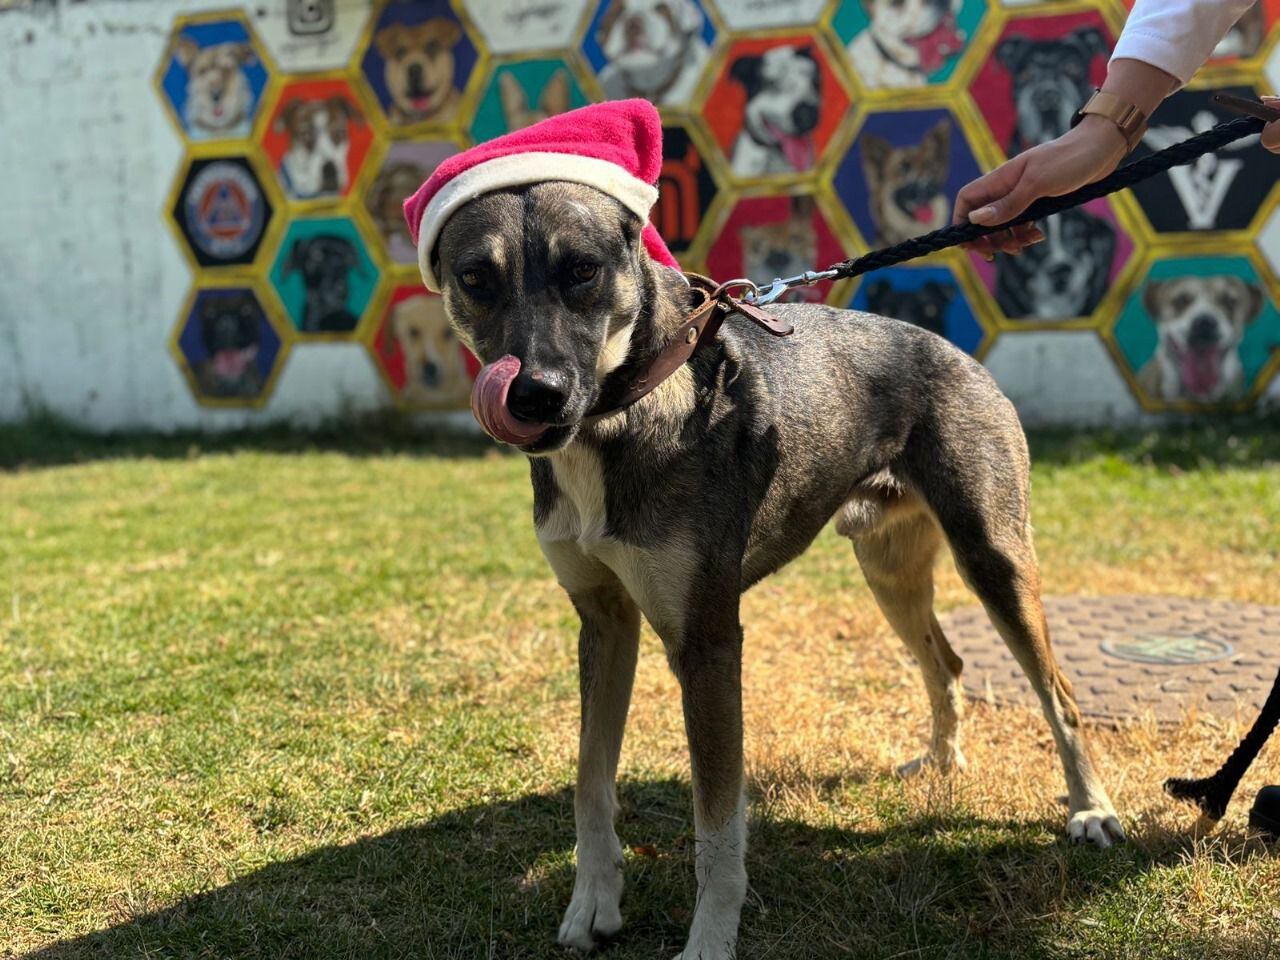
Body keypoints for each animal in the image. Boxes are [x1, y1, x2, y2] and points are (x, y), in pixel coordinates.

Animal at [432, 176, 1131, 957]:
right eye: (475, 278)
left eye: (582, 269)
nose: (536, 395)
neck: (620, 414)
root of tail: (958, 353)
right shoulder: (604, 621)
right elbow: (590, 779)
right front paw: (592, 902)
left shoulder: (707, 642)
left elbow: (716, 830)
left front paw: (708, 942)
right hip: (888, 573)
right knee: (946, 664)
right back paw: (942, 763)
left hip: (994, 561)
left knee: (1059, 695)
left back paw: (1091, 809)